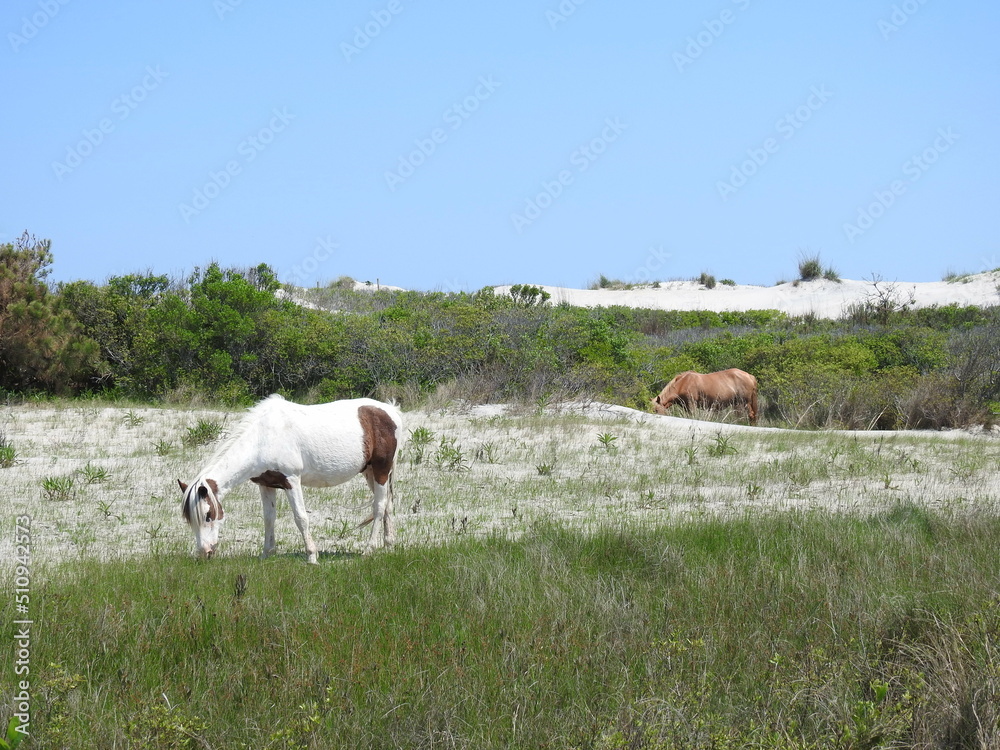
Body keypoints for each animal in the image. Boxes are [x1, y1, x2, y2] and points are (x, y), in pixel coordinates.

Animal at [180, 400, 402, 564]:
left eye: (208, 515)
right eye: (189, 520)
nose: (204, 553)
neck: (262, 438)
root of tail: (391, 411)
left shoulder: (292, 481)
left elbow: (301, 518)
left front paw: (312, 556)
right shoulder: (266, 485)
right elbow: (269, 518)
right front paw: (266, 554)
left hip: (381, 470)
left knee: (379, 507)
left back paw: (369, 549)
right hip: (370, 472)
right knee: (387, 506)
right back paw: (389, 545)